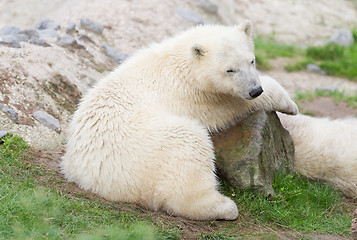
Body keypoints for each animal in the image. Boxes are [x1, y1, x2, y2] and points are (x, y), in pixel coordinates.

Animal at [62, 21, 298, 220]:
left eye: (252, 60)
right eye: (230, 70)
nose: (254, 90)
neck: (182, 63)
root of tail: (88, 176)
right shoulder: (201, 97)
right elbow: (233, 105)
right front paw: (290, 105)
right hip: (147, 147)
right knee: (190, 148)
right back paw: (225, 207)